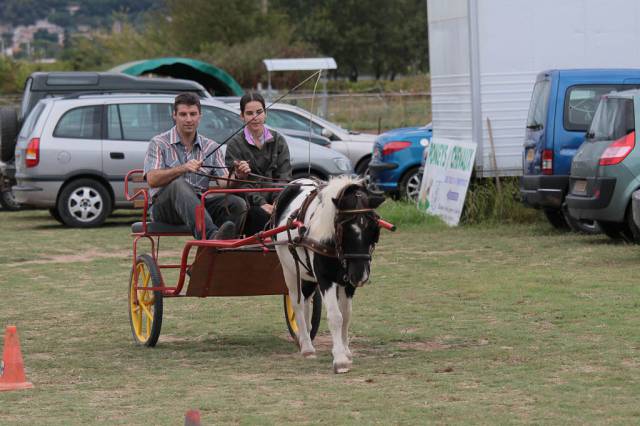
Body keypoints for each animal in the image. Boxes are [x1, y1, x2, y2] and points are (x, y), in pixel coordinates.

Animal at [272, 176, 384, 372]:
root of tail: (295, 181)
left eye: (373, 229)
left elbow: (346, 314)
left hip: (308, 274)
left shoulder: (347, 283)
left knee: (306, 300)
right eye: (345, 229)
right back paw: (307, 347)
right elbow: (335, 316)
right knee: (297, 303)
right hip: (289, 269)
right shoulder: (325, 279)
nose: (360, 276)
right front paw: (340, 359)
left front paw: (345, 351)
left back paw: (305, 337)